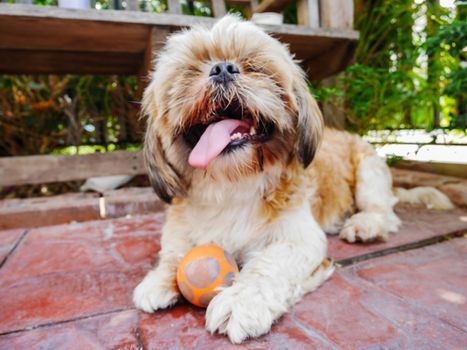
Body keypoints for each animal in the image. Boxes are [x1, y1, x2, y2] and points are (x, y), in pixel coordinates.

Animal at [132, 15, 454, 344]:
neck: (233, 184)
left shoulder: (299, 239)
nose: (222, 68)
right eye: (189, 72)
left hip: (368, 171)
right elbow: (174, 252)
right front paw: (160, 278)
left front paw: (241, 300)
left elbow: (268, 265)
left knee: (383, 212)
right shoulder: (179, 229)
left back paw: (364, 225)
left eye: (254, 66)